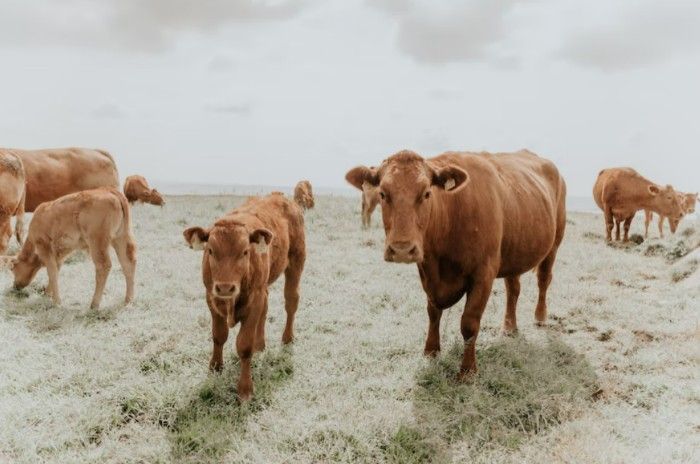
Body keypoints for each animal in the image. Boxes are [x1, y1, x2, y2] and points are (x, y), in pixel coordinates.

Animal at [0, 188, 136, 309]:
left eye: (13, 268)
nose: (15, 286)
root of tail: (110, 191)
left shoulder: (44, 246)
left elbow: (52, 271)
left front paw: (56, 302)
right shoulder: (60, 252)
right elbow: (56, 269)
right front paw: (48, 293)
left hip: (98, 241)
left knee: (104, 265)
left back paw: (94, 304)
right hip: (121, 237)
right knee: (128, 262)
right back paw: (128, 300)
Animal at [183, 192, 306, 401]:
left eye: (245, 251)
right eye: (210, 250)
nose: (225, 287)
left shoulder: (254, 300)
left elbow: (244, 346)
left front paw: (245, 389)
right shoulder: (211, 297)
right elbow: (219, 336)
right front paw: (215, 367)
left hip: (296, 262)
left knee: (291, 301)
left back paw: (287, 338)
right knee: (266, 308)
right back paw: (260, 344)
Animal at [345, 149, 566, 379]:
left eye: (426, 193)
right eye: (382, 193)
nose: (402, 250)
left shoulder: (483, 274)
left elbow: (469, 323)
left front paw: (467, 370)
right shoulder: (428, 274)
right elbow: (433, 312)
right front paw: (431, 352)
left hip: (554, 243)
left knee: (543, 280)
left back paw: (540, 317)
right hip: (514, 249)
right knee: (513, 289)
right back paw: (509, 327)